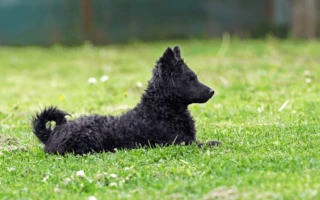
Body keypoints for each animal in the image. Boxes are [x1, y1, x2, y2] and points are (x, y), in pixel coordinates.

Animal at [32, 45, 221, 155]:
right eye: (190, 78)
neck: (161, 110)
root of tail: (52, 133)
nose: (212, 91)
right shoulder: (180, 143)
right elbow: (208, 143)